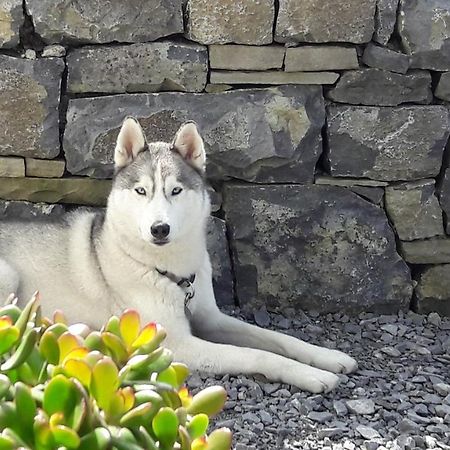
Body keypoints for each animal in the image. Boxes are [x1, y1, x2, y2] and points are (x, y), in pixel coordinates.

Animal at [0, 118, 358, 392]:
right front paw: (311, 375)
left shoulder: (211, 318)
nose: (160, 229)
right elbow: (255, 354)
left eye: (175, 190)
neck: (171, 273)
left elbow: (277, 338)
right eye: (141, 191)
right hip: (10, 278)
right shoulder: (174, 344)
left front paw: (326, 357)